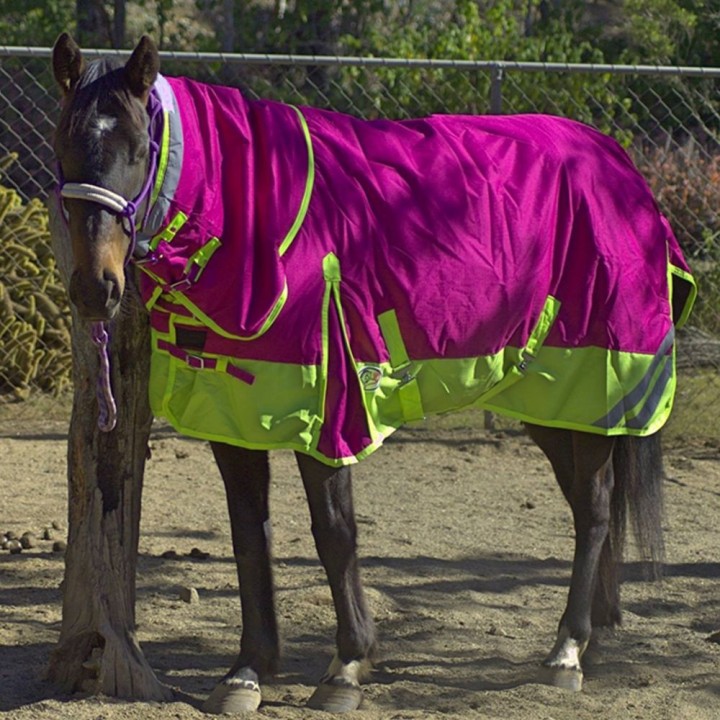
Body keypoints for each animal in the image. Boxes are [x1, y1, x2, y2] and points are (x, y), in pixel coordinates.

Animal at [51, 33, 696, 714]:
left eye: (139, 148)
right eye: (63, 144)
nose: (95, 289)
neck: (253, 223)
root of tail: (619, 166)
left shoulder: (327, 410)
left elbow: (335, 532)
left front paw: (347, 667)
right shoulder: (233, 414)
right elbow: (249, 534)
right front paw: (248, 672)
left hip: (596, 384)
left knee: (595, 508)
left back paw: (567, 651)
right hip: (548, 398)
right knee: (584, 504)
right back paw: (594, 635)